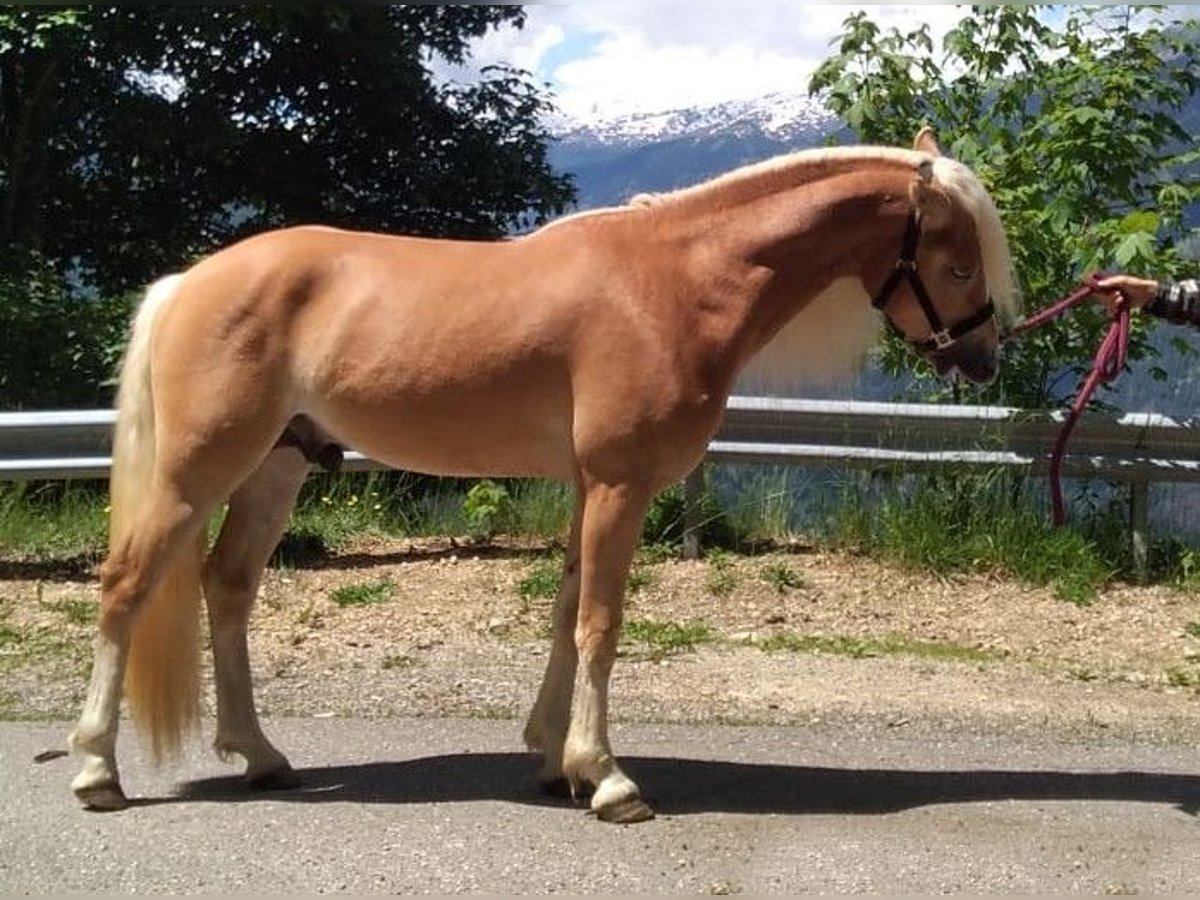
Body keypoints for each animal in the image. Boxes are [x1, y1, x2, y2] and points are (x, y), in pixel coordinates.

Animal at [68, 127, 1012, 825]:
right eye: (959, 263)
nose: (983, 359)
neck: (674, 284)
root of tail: (189, 280)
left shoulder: (591, 488)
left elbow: (564, 614)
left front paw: (558, 759)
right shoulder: (621, 485)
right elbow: (601, 621)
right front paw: (610, 779)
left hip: (275, 467)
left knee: (228, 589)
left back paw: (262, 756)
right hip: (196, 472)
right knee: (126, 587)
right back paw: (96, 772)